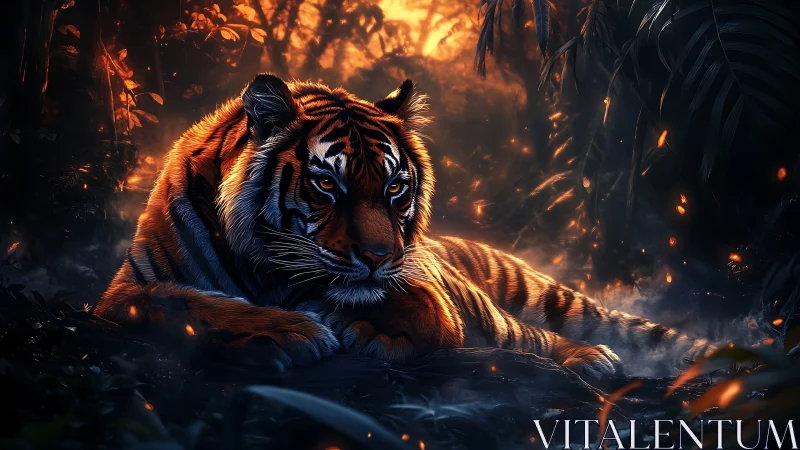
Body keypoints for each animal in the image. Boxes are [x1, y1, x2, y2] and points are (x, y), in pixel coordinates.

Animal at [93, 74, 715, 380]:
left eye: (396, 186)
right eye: (327, 183)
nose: (378, 256)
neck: (263, 268)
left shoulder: (428, 291)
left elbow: (421, 314)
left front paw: (359, 329)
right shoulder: (123, 291)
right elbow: (187, 302)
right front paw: (291, 333)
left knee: (531, 335)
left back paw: (593, 359)